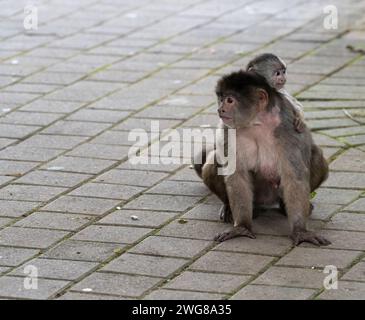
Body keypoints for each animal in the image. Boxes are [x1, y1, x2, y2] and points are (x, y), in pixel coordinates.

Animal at [193, 70, 330, 245]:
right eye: (221, 99)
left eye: (229, 100)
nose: (220, 109)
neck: (257, 122)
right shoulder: (227, 129)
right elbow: (236, 175)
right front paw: (242, 226)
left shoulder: (287, 128)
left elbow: (294, 176)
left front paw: (300, 230)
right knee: (214, 161)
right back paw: (230, 206)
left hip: (277, 193)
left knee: (316, 156)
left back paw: (285, 207)